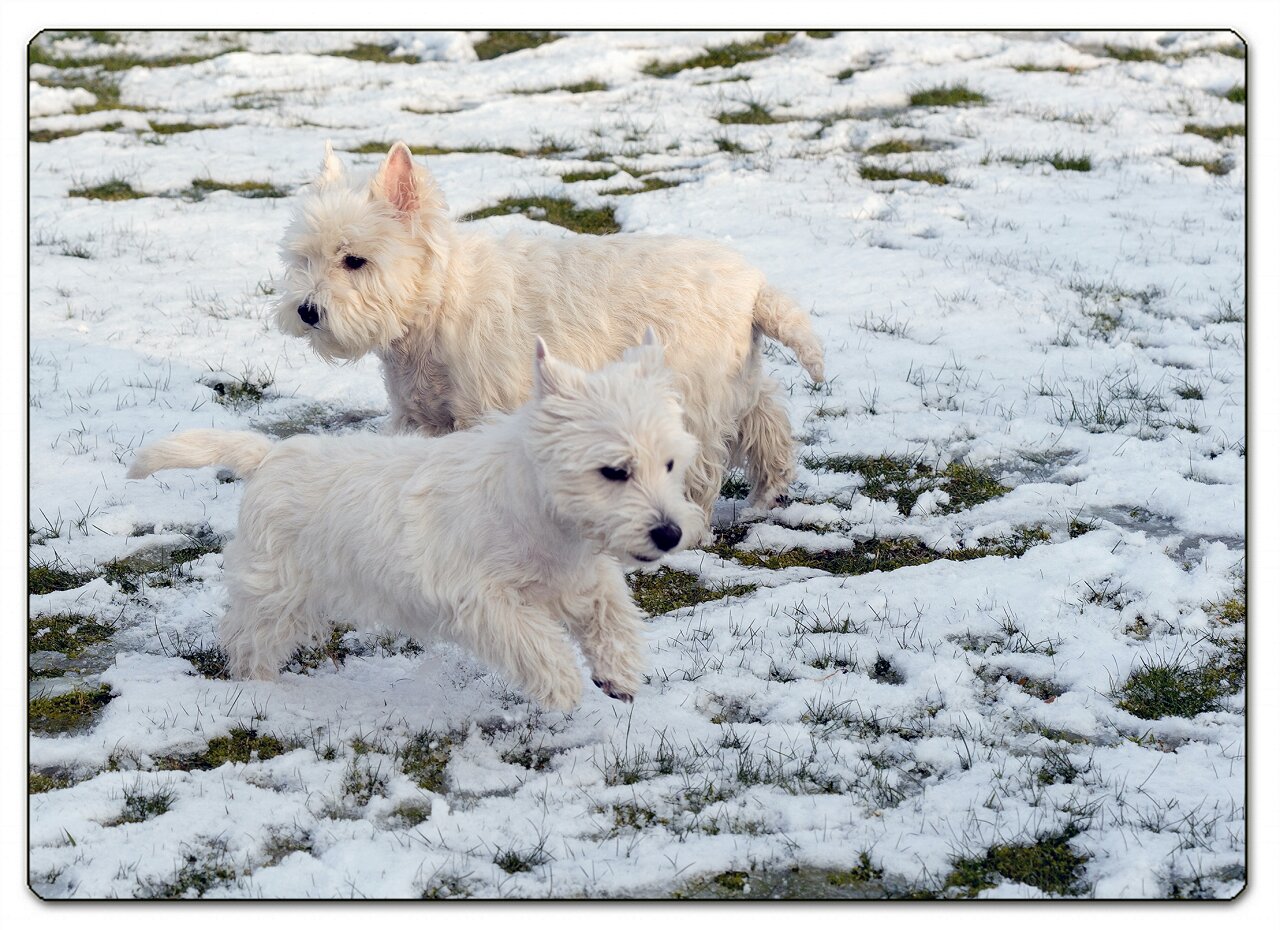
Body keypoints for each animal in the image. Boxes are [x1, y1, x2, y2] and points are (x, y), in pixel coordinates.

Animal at [127, 335, 701, 711]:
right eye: (614, 471)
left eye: (671, 463)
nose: (669, 534)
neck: (549, 523)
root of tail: (268, 456)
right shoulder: (480, 596)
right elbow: (530, 638)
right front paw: (562, 686)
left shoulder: (584, 577)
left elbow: (613, 613)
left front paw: (619, 673)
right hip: (277, 588)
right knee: (246, 637)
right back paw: (258, 686)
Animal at [273, 141, 824, 527]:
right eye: (304, 258)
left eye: (355, 260)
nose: (307, 311)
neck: (437, 304)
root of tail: (754, 286)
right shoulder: (422, 416)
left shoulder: (486, 408)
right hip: (735, 379)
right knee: (766, 420)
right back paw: (768, 495)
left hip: (693, 391)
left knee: (704, 463)